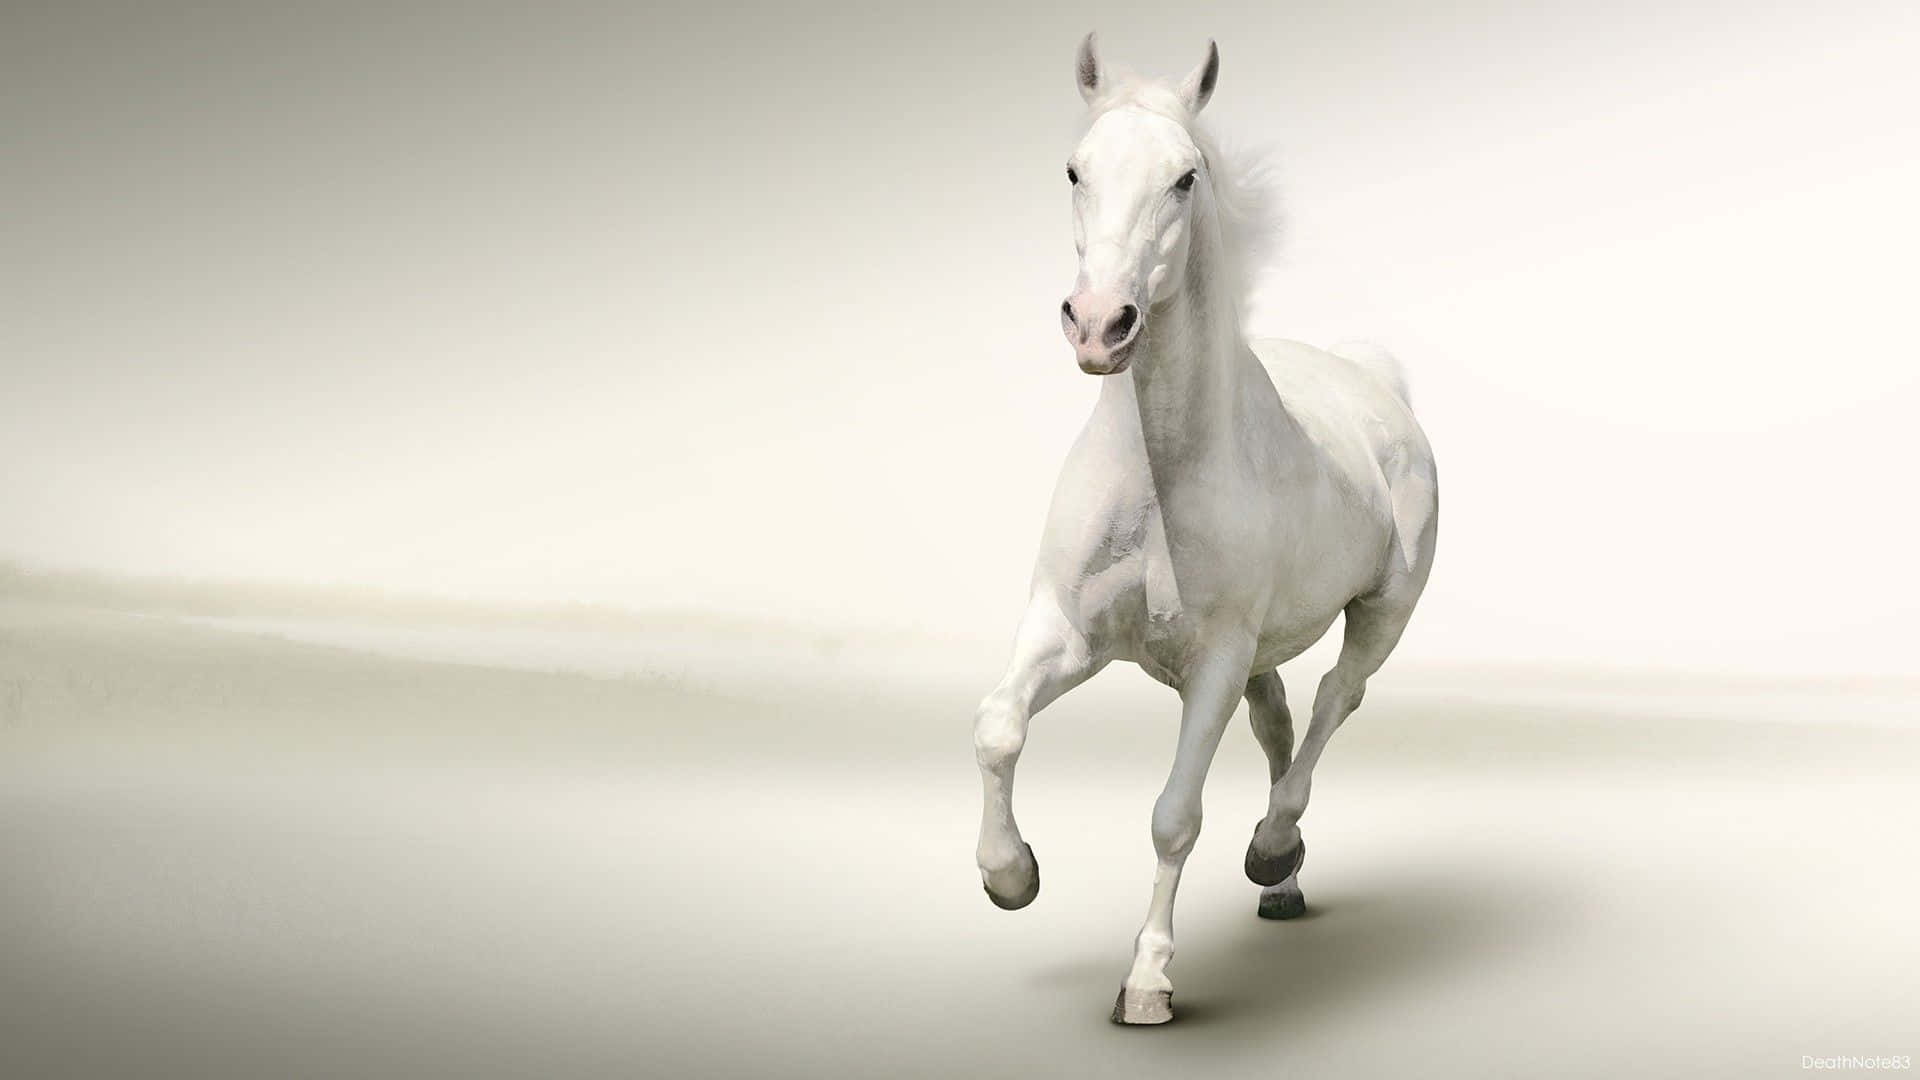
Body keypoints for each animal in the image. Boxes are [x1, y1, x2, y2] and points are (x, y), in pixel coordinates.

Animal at [971, 34, 1439, 1025]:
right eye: (1075, 168)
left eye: (1185, 178)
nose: (1099, 324)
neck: (1160, 477)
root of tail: (1375, 382)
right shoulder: (1068, 630)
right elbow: (998, 726)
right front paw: (1010, 876)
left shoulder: (1215, 661)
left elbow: (1174, 815)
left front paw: (1147, 982)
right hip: (1266, 651)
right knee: (1281, 720)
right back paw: (1284, 883)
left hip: (1383, 612)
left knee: (1337, 699)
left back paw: (1273, 847)